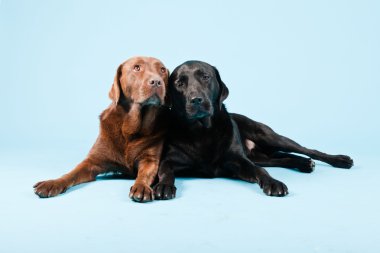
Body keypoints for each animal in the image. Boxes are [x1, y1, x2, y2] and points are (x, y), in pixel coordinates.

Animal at [32, 56, 169, 203]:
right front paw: (53, 183)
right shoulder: (92, 161)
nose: (157, 82)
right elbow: (71, 173)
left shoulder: (150, 160)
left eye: (162, 70)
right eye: (136, 67)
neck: (130, 130)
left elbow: (144, 174)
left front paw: (141, 186)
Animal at [154, 60, 288, 198]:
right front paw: (164, 185)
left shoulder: (239, 160)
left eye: (205, 77)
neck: (201, 132)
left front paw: (273, 182)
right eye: (179, 84)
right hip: (264, 158)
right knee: (284, 158)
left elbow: (259, 170)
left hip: (270, 137)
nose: (196, 100)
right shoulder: (169, 160)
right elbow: (164, 171)